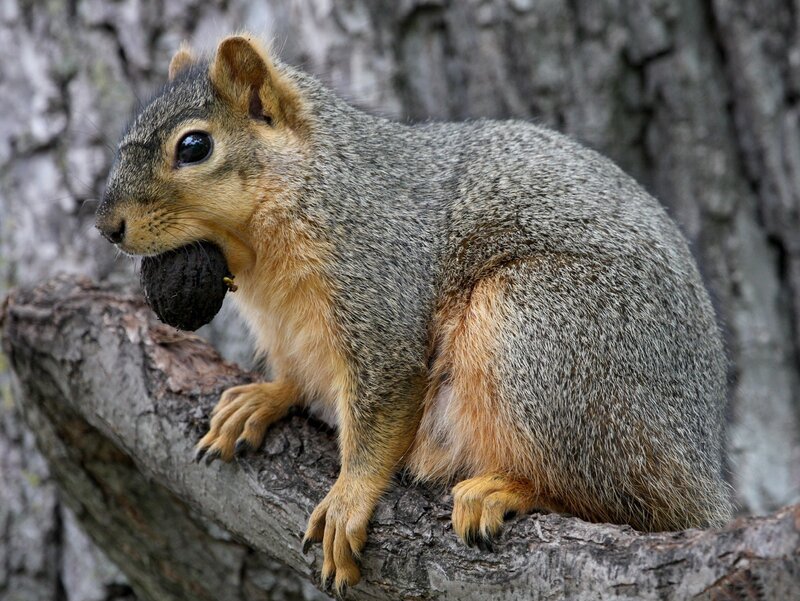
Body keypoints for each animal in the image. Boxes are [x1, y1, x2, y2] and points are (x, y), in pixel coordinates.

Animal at [96, 34, 733, 593]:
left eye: (194, 146)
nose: (106, 227)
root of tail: (698, 464)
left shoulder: (379, 287)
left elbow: (382, 411)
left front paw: (349, 498)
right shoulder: (288, 330)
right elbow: (298, 376)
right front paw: (264, 397)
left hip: (539, 333)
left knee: (617, 497)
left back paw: (505, 490)